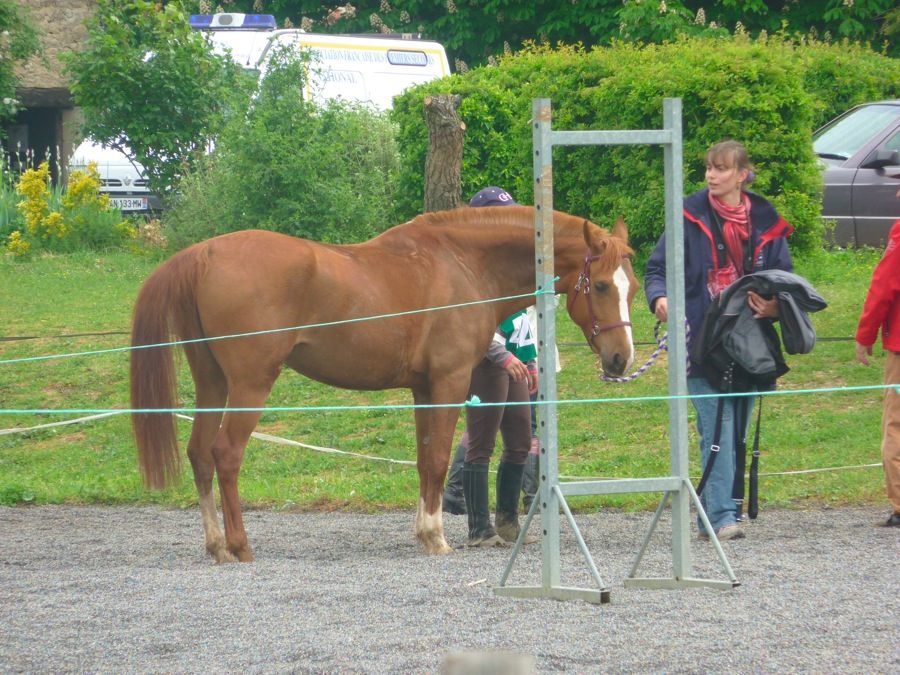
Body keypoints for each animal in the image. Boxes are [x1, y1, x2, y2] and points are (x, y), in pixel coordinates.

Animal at [130, 205, 639, 562]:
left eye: (630, 287)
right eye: (600, 286)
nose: (621, 359)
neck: (464, 264)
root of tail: (203, 253)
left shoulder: (423, 390)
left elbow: (423, 461)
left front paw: (423, 532)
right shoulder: (450, 383)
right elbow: (439, 459)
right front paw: (436, 537)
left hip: (212, 383)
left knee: (199, 453)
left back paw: (216, 544)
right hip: (250, 386)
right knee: (225, 454)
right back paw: (239, 545)